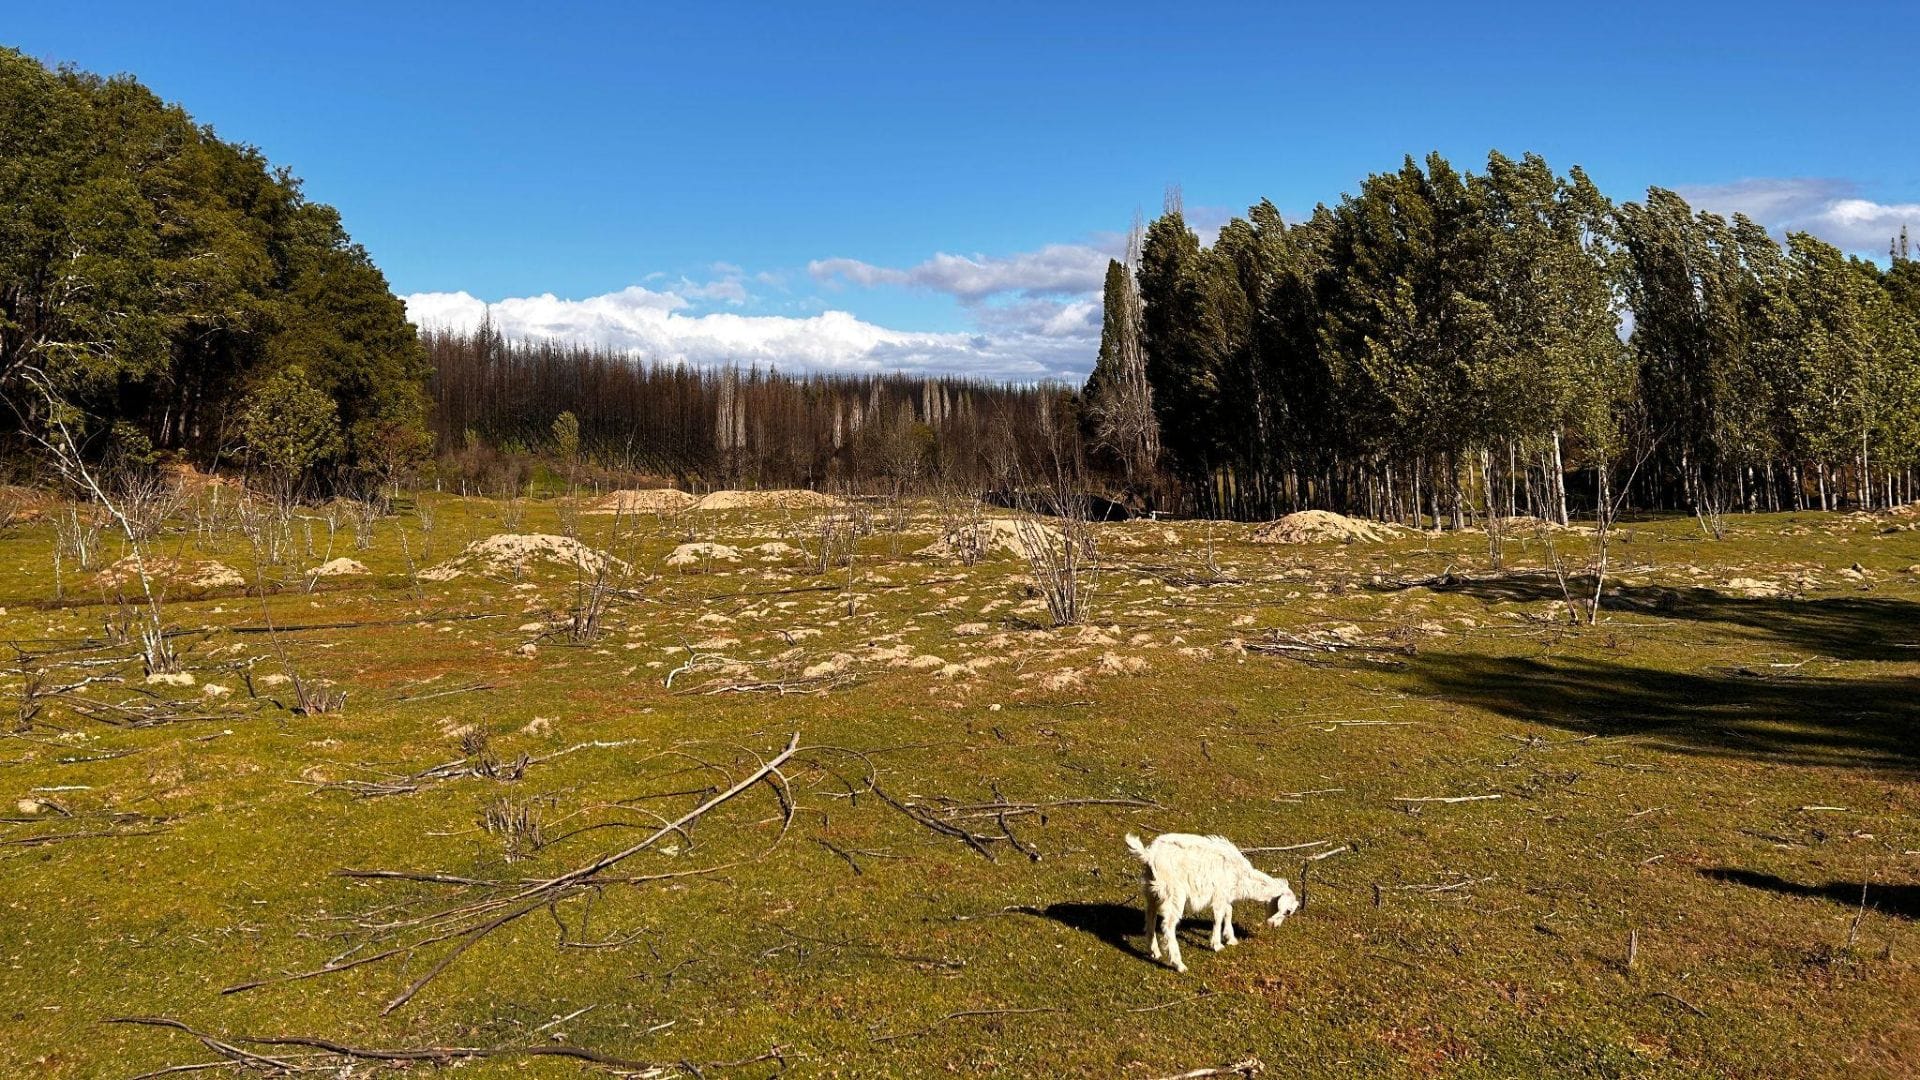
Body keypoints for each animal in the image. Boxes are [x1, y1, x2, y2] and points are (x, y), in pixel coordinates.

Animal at [1125, 832, 1299, 972]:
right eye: (1287, 912)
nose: (1275, 926)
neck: (1241, 877)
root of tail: (1149, 855)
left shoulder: (1226, 895)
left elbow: (1228, 913)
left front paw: (1230, 939)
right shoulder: (1220, 894)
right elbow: (1219, 917)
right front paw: (1216, 944)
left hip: (1151, 891)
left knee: (1150, 916)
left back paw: (1154, 951)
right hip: (1174, 893)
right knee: (1168, 925)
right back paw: (1178, 964)